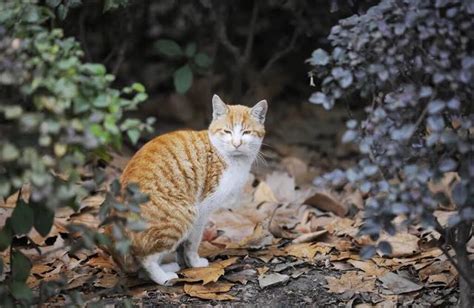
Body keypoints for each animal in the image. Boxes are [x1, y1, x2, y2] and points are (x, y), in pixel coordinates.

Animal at [111, 94, 266, 286]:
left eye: (246, 133)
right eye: (227, 132)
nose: (236, 143)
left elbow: (183, 245)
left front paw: (183, 261)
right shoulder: (202, 209)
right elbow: (193, 242)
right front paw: (194, 263)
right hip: (183, 214)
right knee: (146, 259)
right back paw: (164, 277)